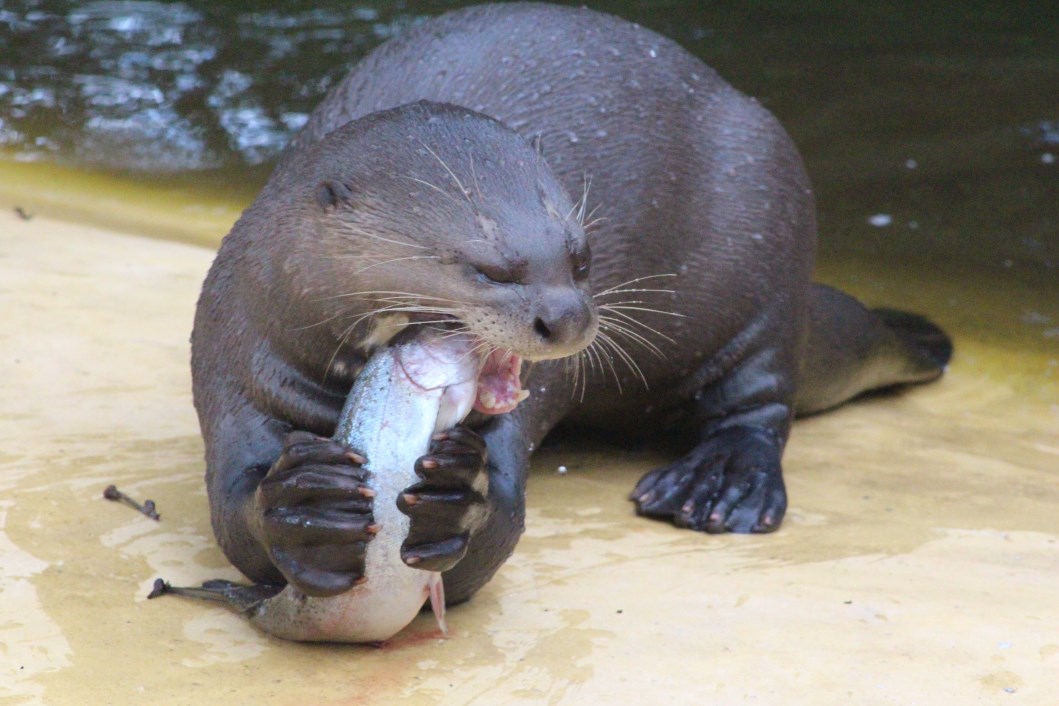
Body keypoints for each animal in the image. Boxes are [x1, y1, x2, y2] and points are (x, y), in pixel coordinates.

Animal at [190, 3, 951, 614]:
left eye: (582, 257)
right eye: (487, 268)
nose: (568, 320)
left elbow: (497, 523)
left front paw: (454, 503)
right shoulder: (236, 359)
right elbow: (232, 504)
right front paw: (304, 502)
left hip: (768, 238)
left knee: (759, 403)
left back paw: (719, 486)